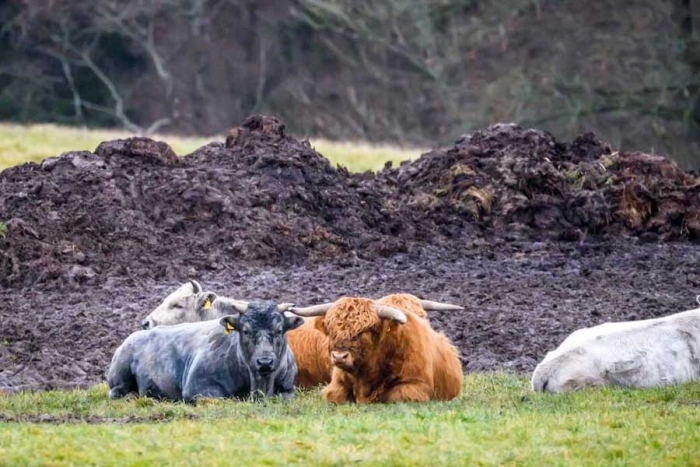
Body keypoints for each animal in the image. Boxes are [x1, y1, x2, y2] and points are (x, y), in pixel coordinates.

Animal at [107, 302, 304, 404]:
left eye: (279, 330)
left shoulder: (288, 389)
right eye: (246, 331)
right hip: (119, 378)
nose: (265, 362)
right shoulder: (198, 389)